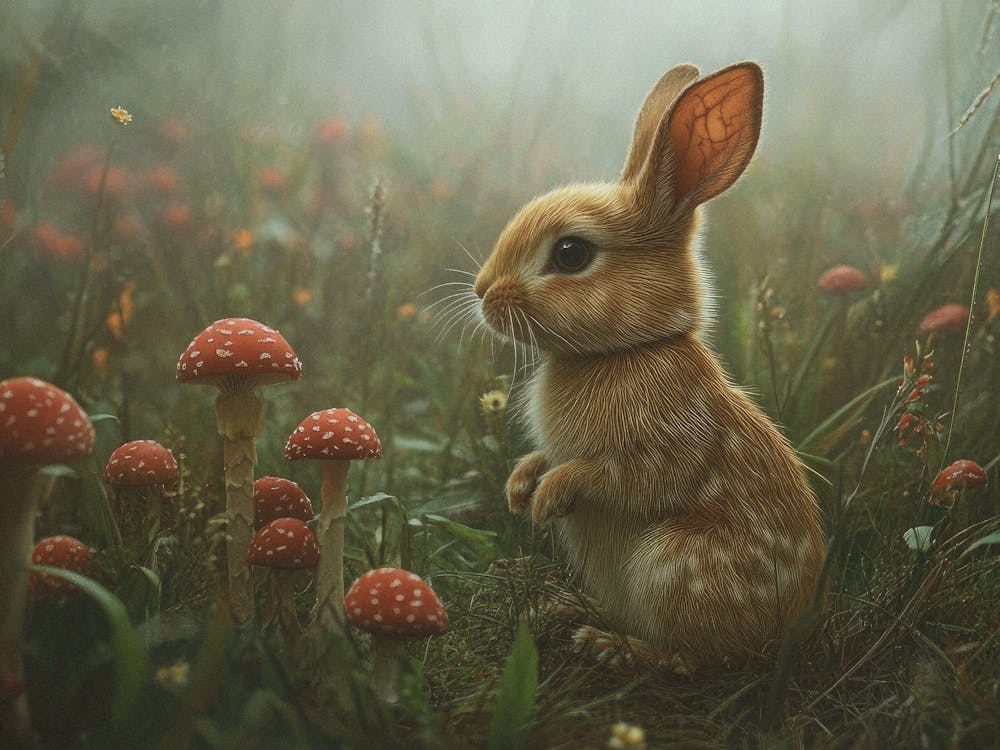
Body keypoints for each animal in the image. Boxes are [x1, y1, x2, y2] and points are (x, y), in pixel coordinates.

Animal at [473, 62, 826, 669]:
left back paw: (610, 645)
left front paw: (545, 499)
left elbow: (620, 477)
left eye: (571, 254)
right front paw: (520, 488)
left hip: (674, 566)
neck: (628, 349)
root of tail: (781, 632)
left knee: (694, 661)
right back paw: (563, 608)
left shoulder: (662, 443)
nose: (481, 293)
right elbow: (545, 457)